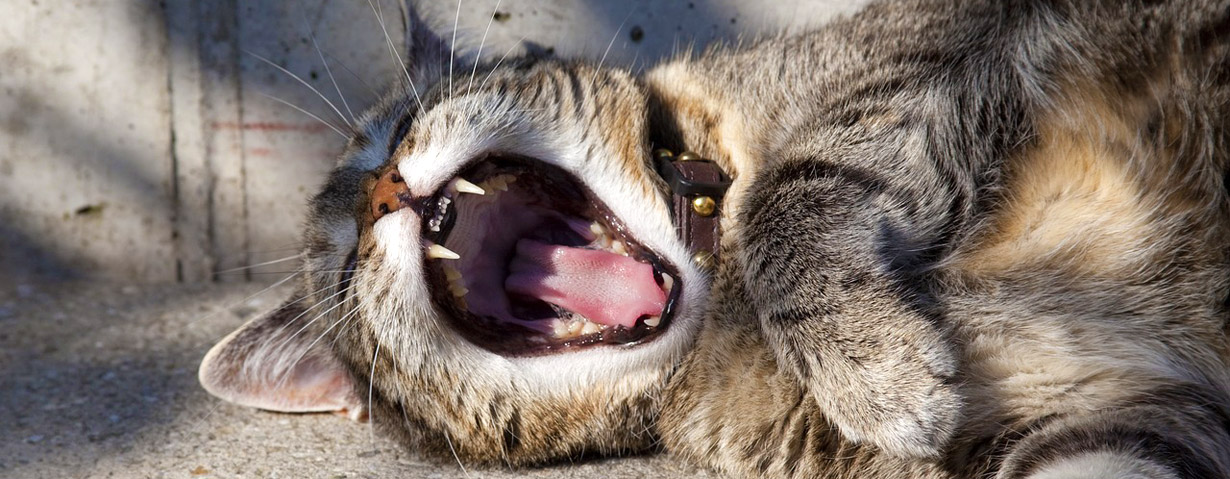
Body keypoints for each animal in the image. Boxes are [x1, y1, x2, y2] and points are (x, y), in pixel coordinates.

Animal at [196, 0, 1230, 472]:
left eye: (397, 126)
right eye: (339, 267)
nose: (377, 193)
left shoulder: (924, 50)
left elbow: (788, 194)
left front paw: (871, 363)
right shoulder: (1102, 420)